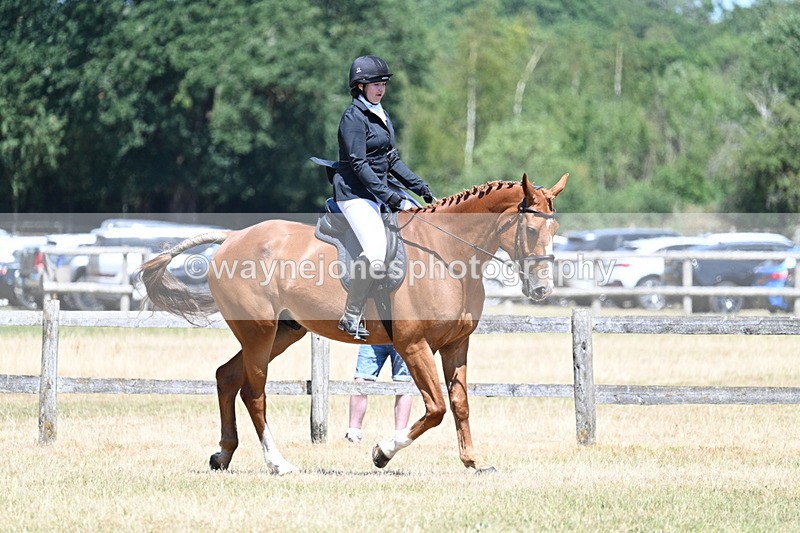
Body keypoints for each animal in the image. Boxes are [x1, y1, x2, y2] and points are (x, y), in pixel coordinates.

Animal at [139, 172, 568, 474]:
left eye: (555, 230)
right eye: (532, 229)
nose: (542, 290)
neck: (447, 254)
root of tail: (232, 238)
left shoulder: (455, 344)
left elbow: (459, 405)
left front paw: (474, 462)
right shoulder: (413, 345)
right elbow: (435, 408)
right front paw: (382, 452)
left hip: (282, 333)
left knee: (227, 377)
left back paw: (223, 455)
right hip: (259, 333)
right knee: (253, 393)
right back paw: (277, 463)